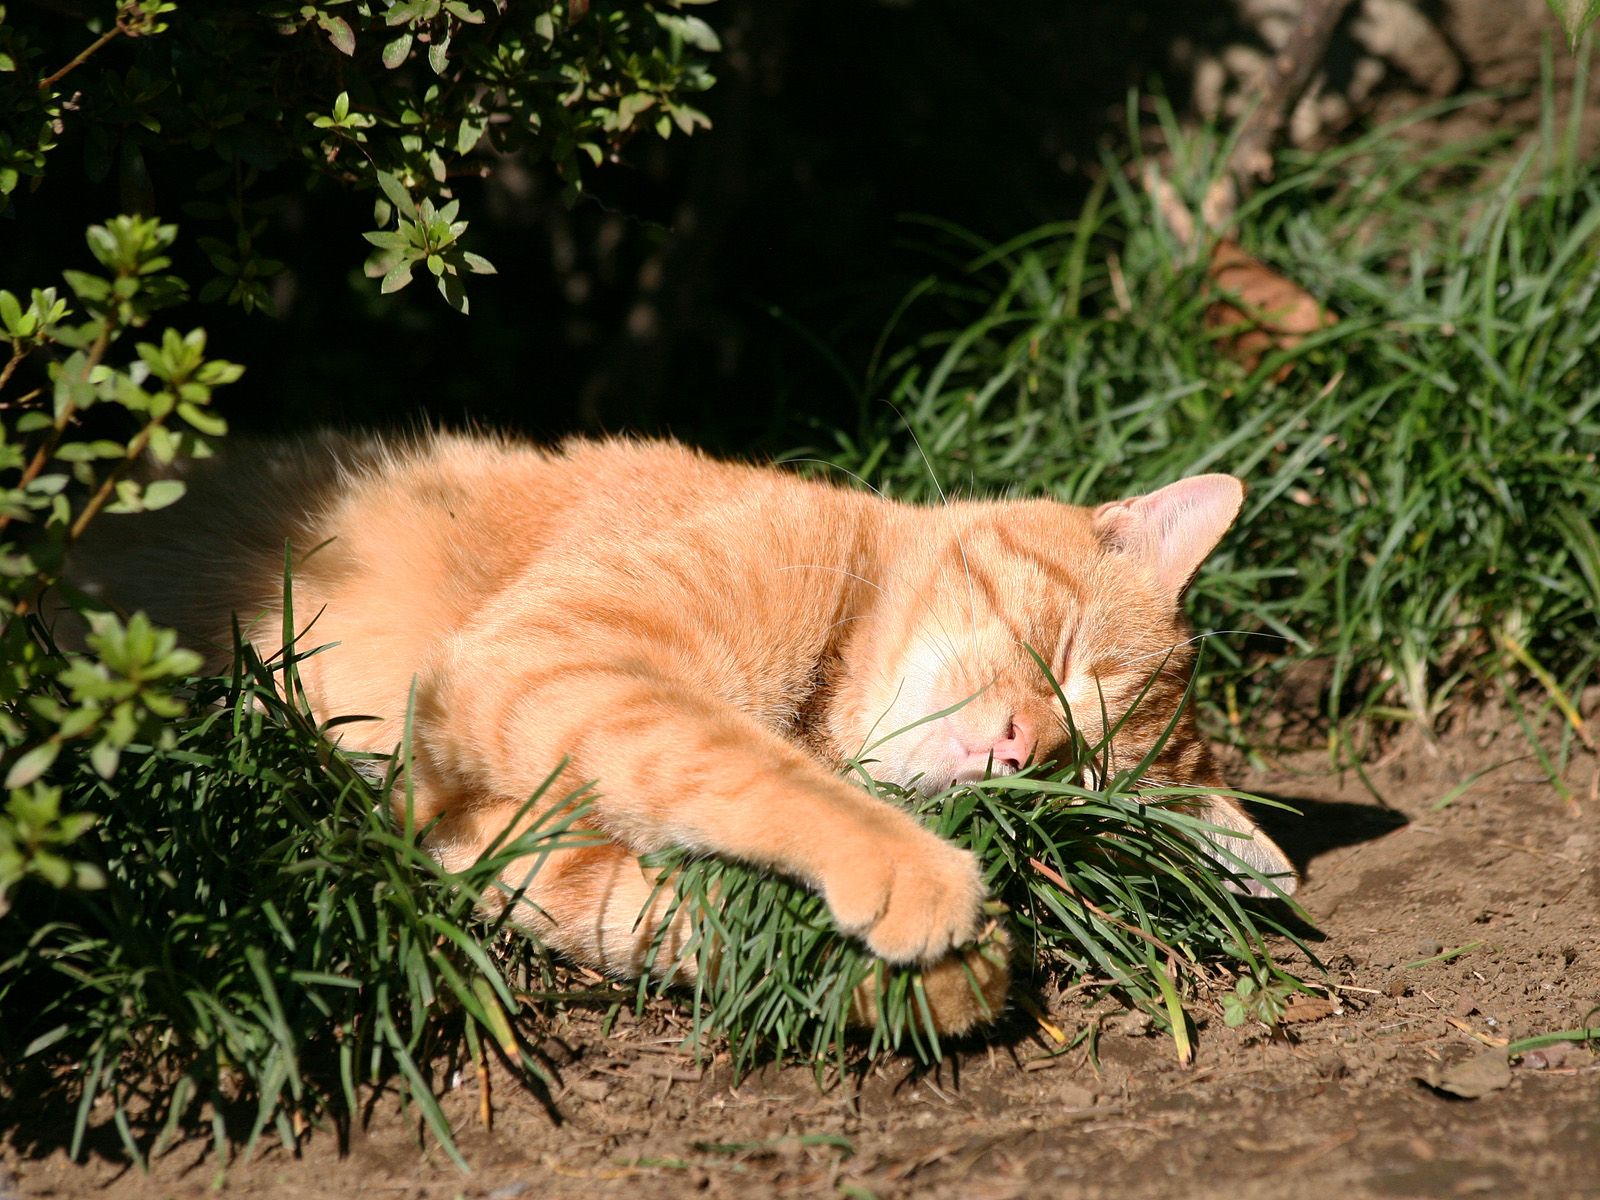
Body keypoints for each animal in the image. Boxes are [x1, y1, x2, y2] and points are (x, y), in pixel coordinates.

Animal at [72, 438, 1299, 1036]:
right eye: (1062, 658)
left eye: (1076, 782)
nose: (1015, 747)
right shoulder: (559, 660)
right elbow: (745, 767)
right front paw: (915, 876)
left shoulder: (500, 845)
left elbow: (698, 907)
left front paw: (936, 979)